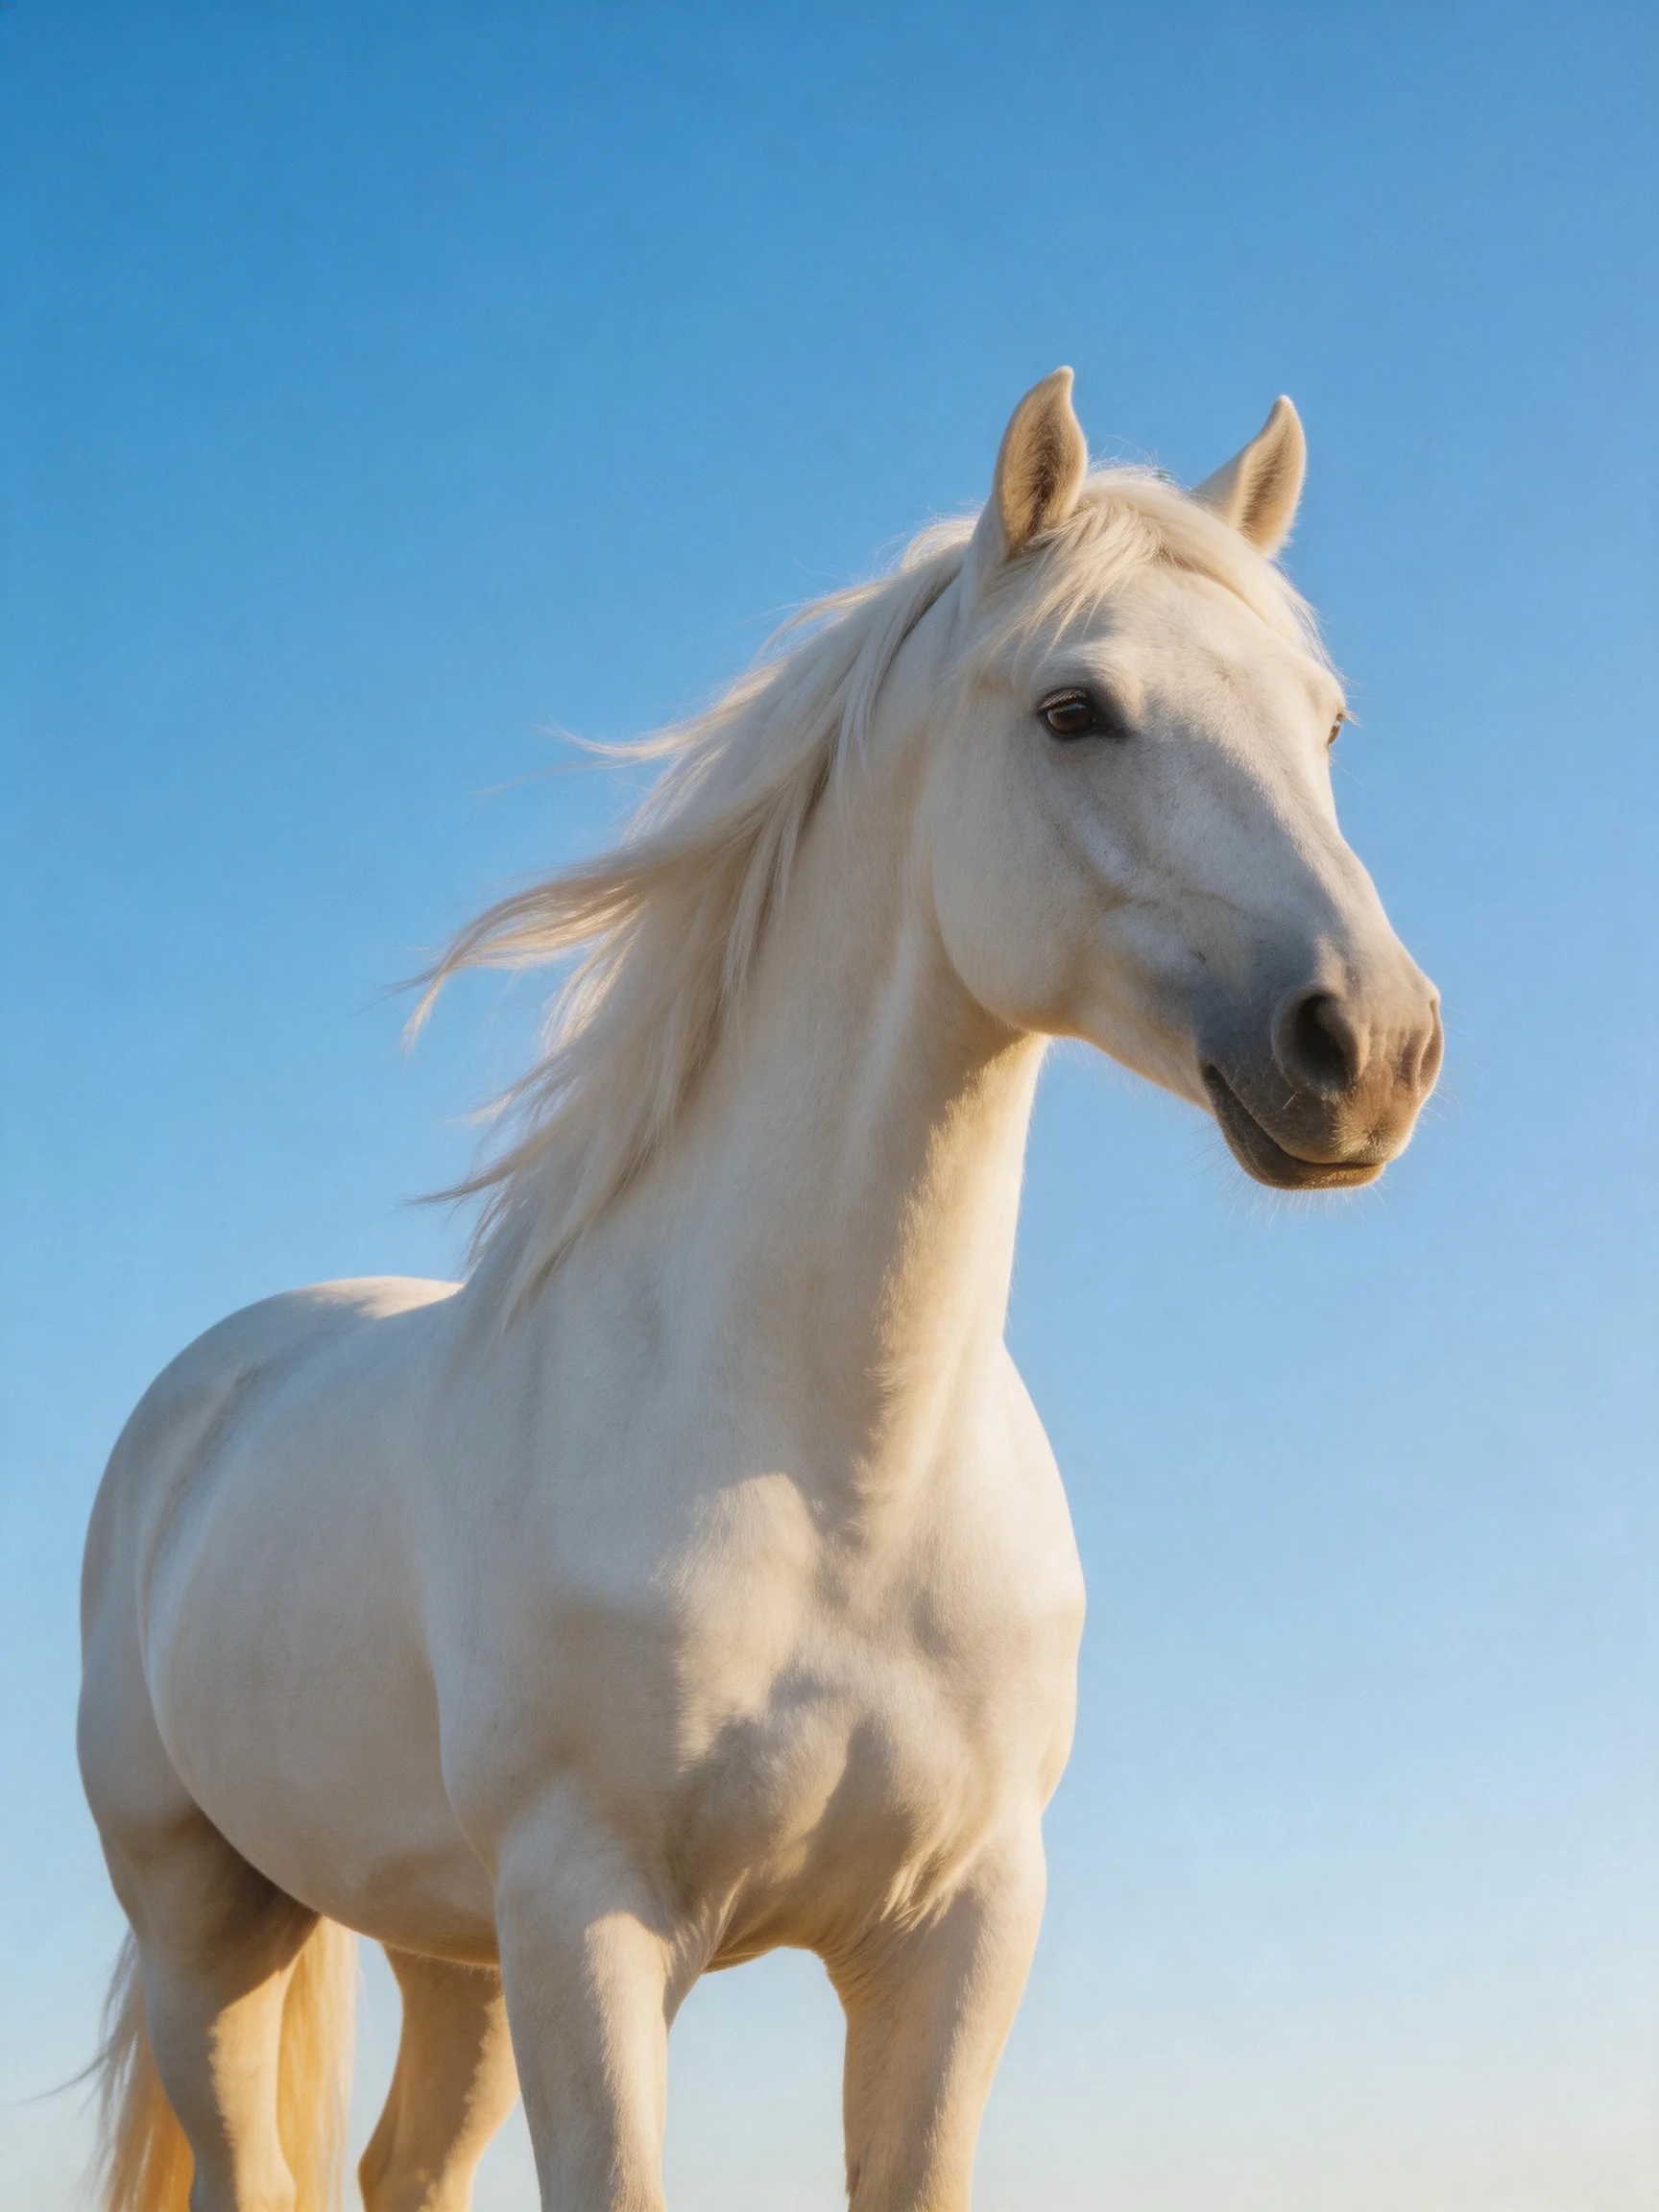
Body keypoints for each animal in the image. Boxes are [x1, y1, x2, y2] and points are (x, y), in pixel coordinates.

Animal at [79, 370, 1442, 2212]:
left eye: (1329, 723)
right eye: (1074, 709)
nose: (1369, 1048)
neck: (828, 1469)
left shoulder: (955, 1932)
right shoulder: (591, 1922)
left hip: (451, 1948)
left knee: (403, 2167)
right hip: (207, 1921)